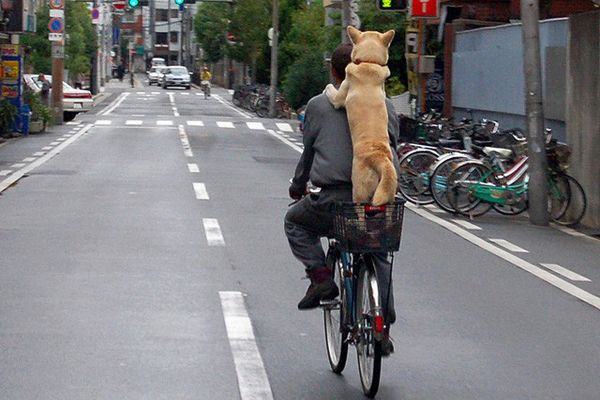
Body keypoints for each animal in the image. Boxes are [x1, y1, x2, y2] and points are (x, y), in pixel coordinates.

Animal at [326, 26, 396, 206]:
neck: (369, 62)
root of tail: (380, 158)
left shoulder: (339, 97)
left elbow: (330, 89)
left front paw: (326, 87)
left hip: (359, 191)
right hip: (389, 191)